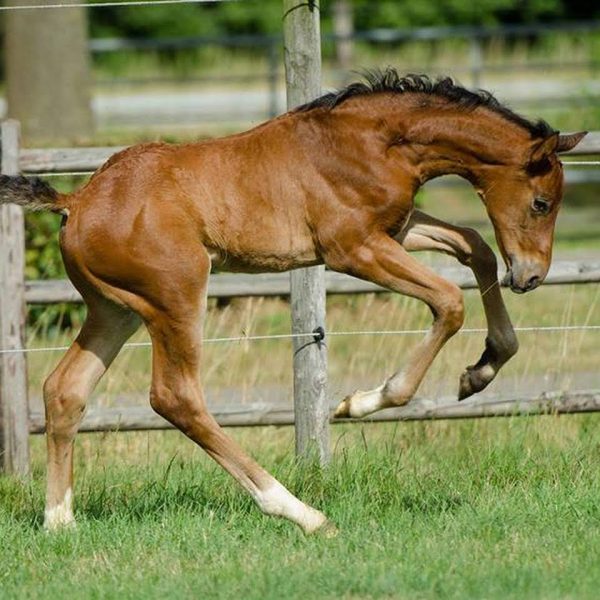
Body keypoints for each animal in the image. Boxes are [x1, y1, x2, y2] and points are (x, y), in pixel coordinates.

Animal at [0, 70, 584, 536]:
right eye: (542, 202)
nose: (531, 276)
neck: (373, 142)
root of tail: (77, 200)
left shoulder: (395, 229)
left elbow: (476, 247)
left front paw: (482, 370)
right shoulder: (352, 248)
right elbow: (448, 300)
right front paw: (361, 402)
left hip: (115, 309)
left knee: (65, 390)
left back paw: (60, 522)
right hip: (175, 295)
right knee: (176, 397)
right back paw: (302, 513)